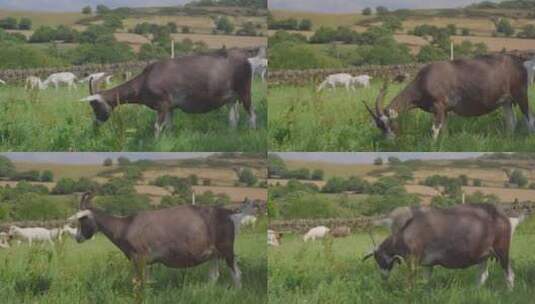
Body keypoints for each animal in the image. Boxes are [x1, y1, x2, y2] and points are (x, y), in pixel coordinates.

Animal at [68, 192, 244, 288]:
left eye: (82, 219)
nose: (77, 238)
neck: (126, 225)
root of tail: (227, 213)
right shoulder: (148, 262)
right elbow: (146, 282)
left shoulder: (139, 258)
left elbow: (138, 282)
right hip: (213, 254)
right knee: (214, 276)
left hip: (227, 249)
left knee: (236, 273)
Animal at [80, 49, 254, 138]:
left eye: (95, 105)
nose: (95, 125)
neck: (145, 79)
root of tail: (246, 60)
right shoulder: (170, 107)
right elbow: (169, 127)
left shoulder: (162, 105)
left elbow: (157, 127)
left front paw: (156, 144)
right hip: (231, 98)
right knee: (233, 119)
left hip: (245, 91)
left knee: (252, 113)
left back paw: (252, 132)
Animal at [362, 54, 532, 139]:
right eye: (379, 126)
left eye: (389, 123)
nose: (390, 140)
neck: (426, 78)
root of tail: (519, 62)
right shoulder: (445, 111)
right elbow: (444, 129)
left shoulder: (439, 106)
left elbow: (434, 129)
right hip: (506, 101)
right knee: (511, 122)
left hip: (520, 94)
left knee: (529, 117)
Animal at [366, 203, 524, 288]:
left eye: (378, 258)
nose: (383, 277)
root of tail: (508, 218)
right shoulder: (427, 263)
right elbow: (425, 281)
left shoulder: (413, 260)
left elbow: (410, 281)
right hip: (484, 255)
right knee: (483, 275)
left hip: (502, 250)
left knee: (509, 273)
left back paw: (508, 292)